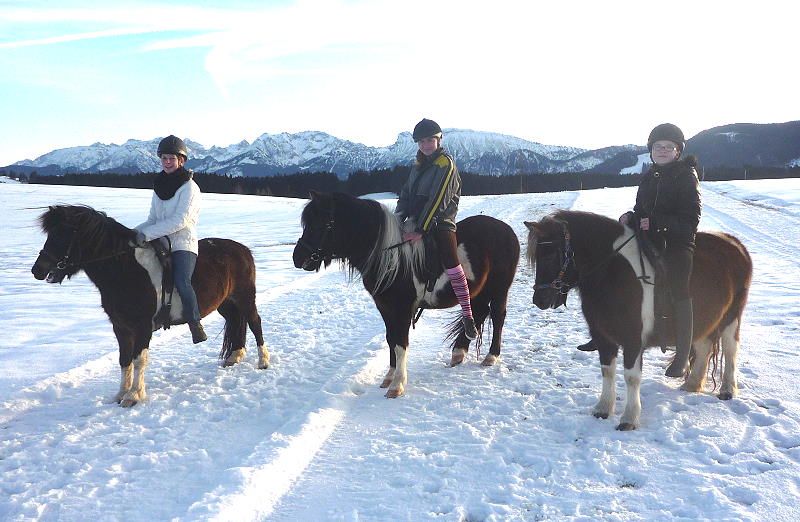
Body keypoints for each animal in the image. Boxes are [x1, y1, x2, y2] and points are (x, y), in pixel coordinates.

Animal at [31, 204, 270, 406]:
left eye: (62, 234)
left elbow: (139, 360)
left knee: (254, 323)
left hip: (245, 298)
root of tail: (243, 250)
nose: (37, 270)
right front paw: (120, 394)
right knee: (236, 322)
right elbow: (124, 360)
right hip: (226, 304)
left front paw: (134, 396)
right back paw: (235, 356)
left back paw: (263, 361)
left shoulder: (143, 326)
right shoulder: (121, 328)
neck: (126, 270)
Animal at [294, 193, 520, 396]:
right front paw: (389, 377)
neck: (390, 255)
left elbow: (401, 342)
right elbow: (390, 339)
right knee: (479, 312)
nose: (297, 257)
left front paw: (397, 385)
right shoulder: (384, 307)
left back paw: (491, 356)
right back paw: (459, 352)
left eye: (321, 225)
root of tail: (506, 230)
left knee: (498, 316)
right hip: (480, 290)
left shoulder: (402, 308)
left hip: (500, 289)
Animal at [524, 209, 752, 428]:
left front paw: (629, 418)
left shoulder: (633, 339)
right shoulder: (603, 338)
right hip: (706, 320)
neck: (612, 272)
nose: (539, 300)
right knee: (704, 347)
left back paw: (727, 389)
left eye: (550, 255)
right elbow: (607, 371)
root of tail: (735, 243)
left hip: (732, 316)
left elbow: (631, 377)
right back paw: (691, 384)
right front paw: (603, 409)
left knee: (730, 348)